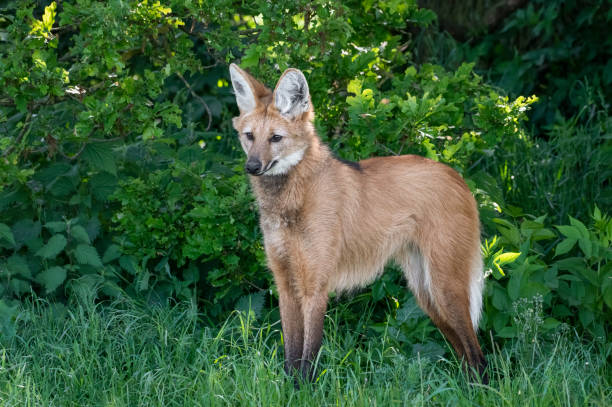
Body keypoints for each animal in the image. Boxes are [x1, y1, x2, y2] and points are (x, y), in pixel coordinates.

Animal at [228, 63, 488, 382]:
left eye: (276, 138)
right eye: (250, 136)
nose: (252, 166)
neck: (291, 201)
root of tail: (459, 178)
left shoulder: (315, 286)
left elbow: (308, 356)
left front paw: (304, 388)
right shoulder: (286, 284)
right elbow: (291, 354)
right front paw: (289, 386)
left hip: (444, 285)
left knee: (477, 353)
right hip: (425, 291)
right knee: (464, 351)